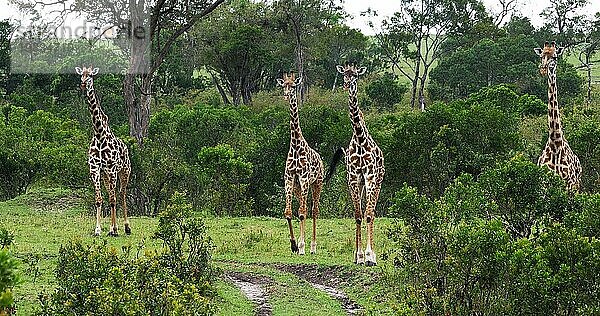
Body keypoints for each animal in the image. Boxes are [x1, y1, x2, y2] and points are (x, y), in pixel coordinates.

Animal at [76, 66, 131, 235]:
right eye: (81, 75)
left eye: (90, 76)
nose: (83, 85)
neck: (99, 135)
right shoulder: (95, 168)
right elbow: (99, 199)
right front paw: (98, 229)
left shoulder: (112, 169)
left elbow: (113, 200)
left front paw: (114, 230)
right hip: (106, 175)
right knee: (112, 194)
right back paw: (115, 227)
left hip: (124, 171)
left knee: (121, 194)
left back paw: (126, 227)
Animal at [276, 73, 324, 256]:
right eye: (284, 85)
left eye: (293, 86)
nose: (286, 95)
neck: (296, 146)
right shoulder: (289, 179)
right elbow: (289, 212)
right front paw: (294, 245)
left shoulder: (304, 179)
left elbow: (303, 213)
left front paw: (302, 246)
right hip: (298, 188)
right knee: (302, 209)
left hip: (317, 183)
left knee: (314, 210)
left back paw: (313, 246)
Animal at [328, 63, 384, 266]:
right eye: (344, 75)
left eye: (355, 76)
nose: (346, 85)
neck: (360, 139)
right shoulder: (353, 178)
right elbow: (358, 215)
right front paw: (358, 255)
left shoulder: (369, 176)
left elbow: (368, 214)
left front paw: (369, 256)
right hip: (361, 184)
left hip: (377, 181)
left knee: (372, 212)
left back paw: (373, 255)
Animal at [536, 41, 580, 190]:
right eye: (542, 56)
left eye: (554, 57)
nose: (543, 69)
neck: (555, 144)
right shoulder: (543, 187)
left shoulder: (570, 185)